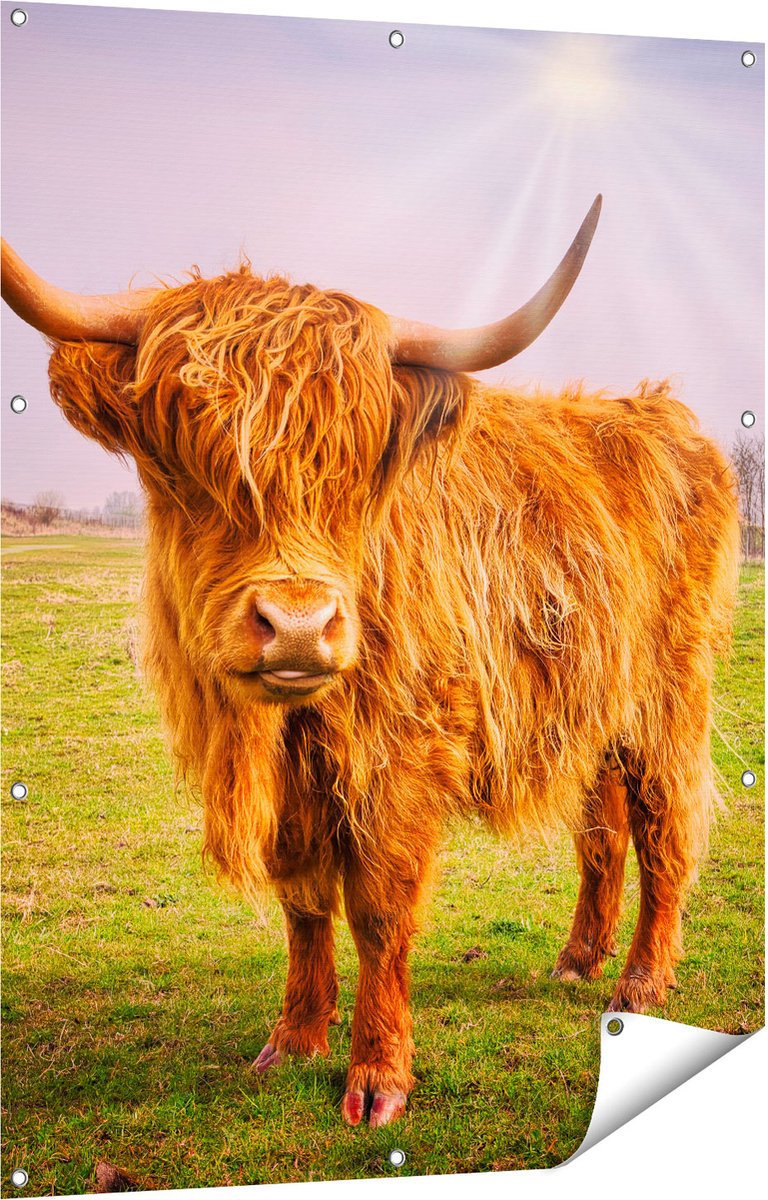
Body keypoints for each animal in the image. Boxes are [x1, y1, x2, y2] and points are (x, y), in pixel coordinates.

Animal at [1, 197, 739, 1128]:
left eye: (357, 468)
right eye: (187, 459)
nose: (298, 628)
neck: (283, 731)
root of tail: (657, 413)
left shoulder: (402, 755)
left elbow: (380, 911)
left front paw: (379, 1076)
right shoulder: (294, 784)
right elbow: (304, 903)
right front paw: (293, 1041)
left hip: (668, 693)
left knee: (663, 825)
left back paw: (641, 982)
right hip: (593, 698)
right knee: (603, 832)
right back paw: (579, 958)